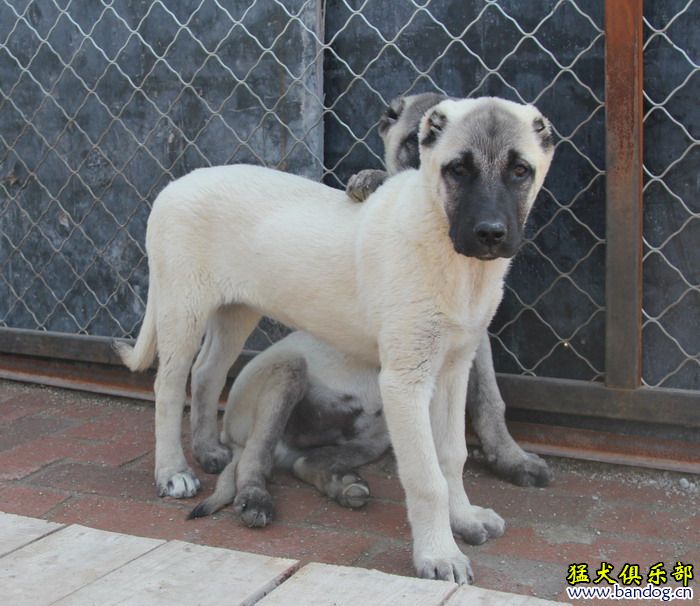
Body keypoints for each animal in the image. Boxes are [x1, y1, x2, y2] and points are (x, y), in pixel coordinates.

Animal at [121, 98, 556, 584]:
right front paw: (438, 554)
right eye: (457, 170)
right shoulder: (406, 381)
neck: (447, 250)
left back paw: (209, 449)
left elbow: (450, 456)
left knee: (208, 373)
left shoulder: (454, 370)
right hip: (183, 308)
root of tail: (174, 185)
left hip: (235, 310)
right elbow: (425, 477)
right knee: (169, 385)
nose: (490, 233)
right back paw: (173, 471)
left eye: (519, 170)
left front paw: (463, 519)